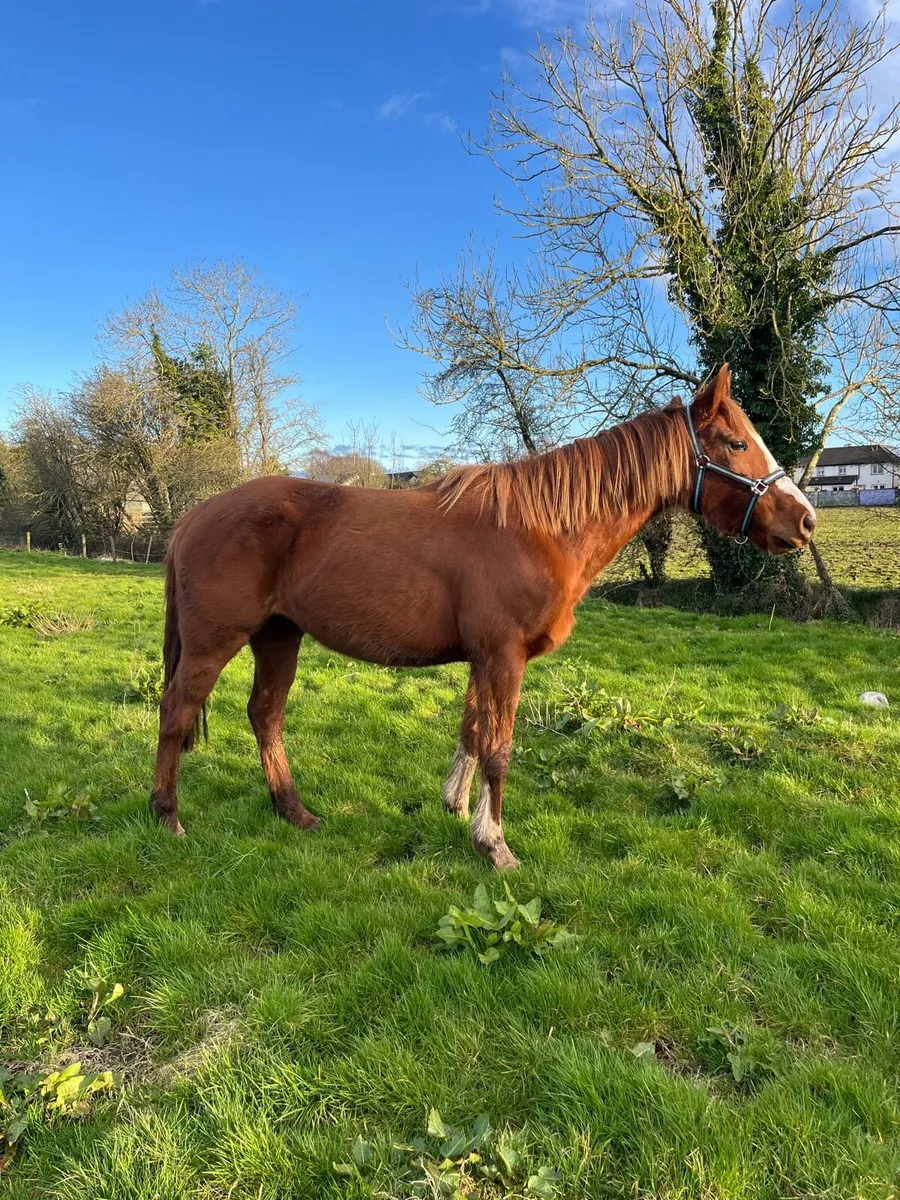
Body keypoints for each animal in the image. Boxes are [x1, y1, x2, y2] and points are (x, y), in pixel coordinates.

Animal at [151, 365, 816, 869]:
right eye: (736, 444)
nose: (805, 520)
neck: (542, 527)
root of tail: (194, 516)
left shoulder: (482, 659)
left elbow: (471, 733)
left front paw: (456, 808)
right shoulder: (503, 656)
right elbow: (499, 747)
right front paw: (494, 844)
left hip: (278, 637)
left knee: (265, 716)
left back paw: (294, 812)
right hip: (215, 643)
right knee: (176, 711)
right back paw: (168, 818)